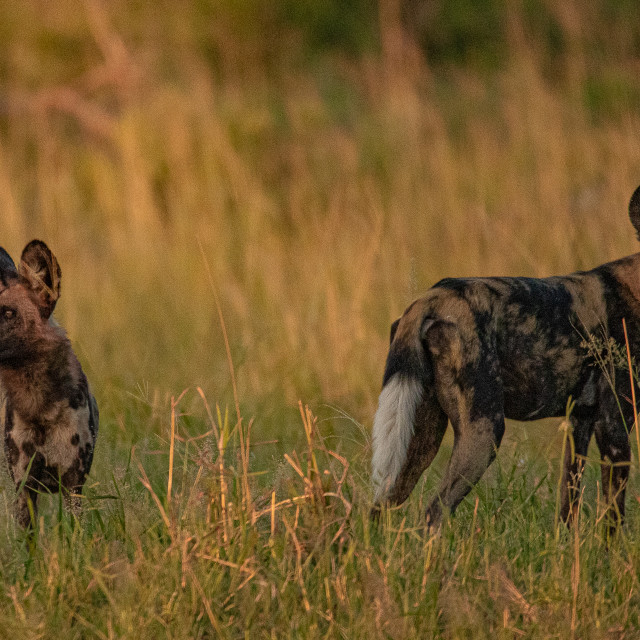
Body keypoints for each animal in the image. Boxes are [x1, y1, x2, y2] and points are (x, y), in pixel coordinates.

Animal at [372, 186, 640, 536]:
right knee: (433, 514)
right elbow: (613, 520)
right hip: (484, 434)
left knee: (379, 506)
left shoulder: (579, 422)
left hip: (417, 441)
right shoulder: (614, 428)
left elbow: (568, 507)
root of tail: (434, 296)